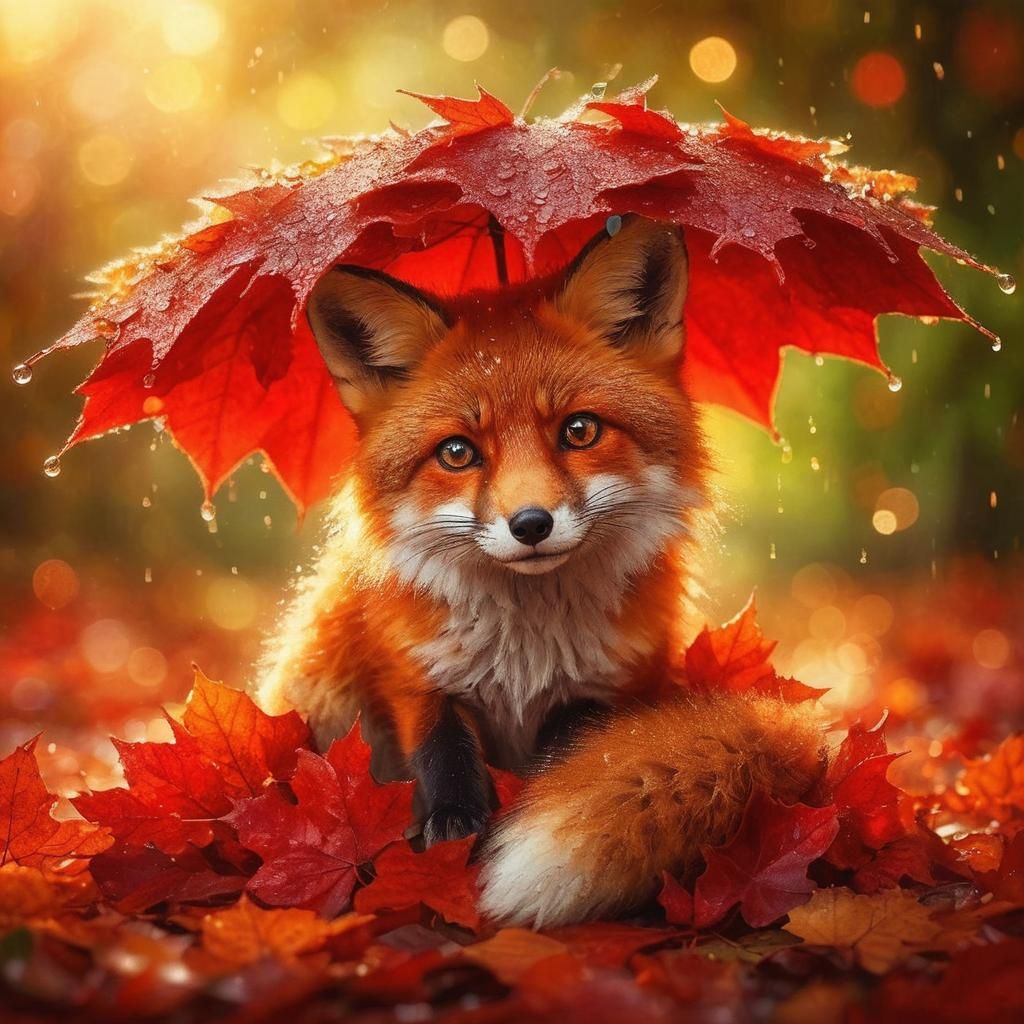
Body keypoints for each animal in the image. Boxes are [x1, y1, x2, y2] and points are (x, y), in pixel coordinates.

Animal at [256, 214, 826, 927]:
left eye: (579, 431)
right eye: (457, 452)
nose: (530, 524)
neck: (526, 650)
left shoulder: (604, 688)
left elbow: (564, 770)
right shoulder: (413, 673)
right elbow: (444, 752)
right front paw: (454, 834)